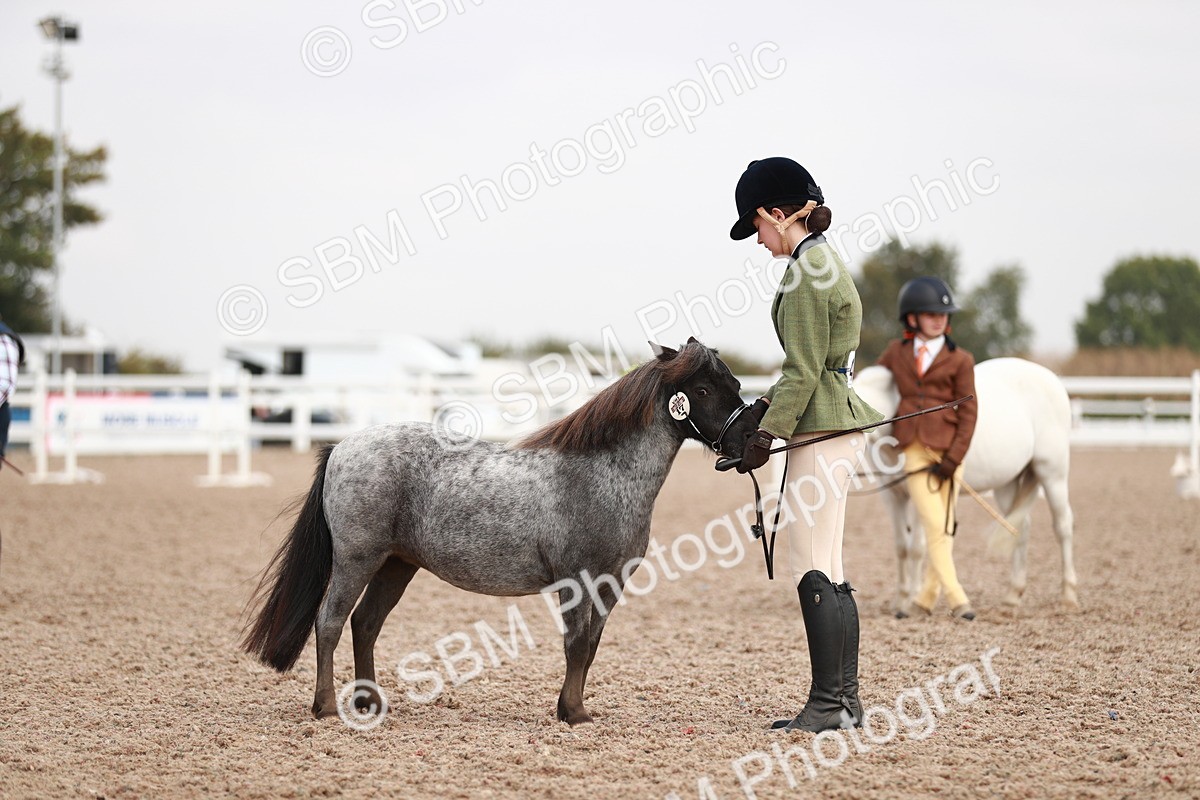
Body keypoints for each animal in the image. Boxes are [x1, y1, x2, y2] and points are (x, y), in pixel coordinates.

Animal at [241, 338, 758, 725]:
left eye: (734, 383)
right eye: (705, 389)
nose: (749, 442)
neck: (604, 474)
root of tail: (343, 446)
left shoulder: (611, 583)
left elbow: (590, 647)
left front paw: (571, 708)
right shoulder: (577, 581)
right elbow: (575, 645)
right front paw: (574, 714)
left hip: (396, 565)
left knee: (365, 624)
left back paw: (370, 702)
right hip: (357, 559)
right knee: (329, 622)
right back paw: (327, 707)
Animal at [852, 358, 1079, 613]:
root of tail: (1051, 378)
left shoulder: (921, 492)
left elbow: (917, 547)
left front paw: (911, 603)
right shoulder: (893, 496)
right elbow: (901, 547)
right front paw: (900, 600)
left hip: (1053, 474)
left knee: (1063, 526)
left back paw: (1068, 595)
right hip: (1008, 483)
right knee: (1019, 528)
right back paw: (1012, 596)